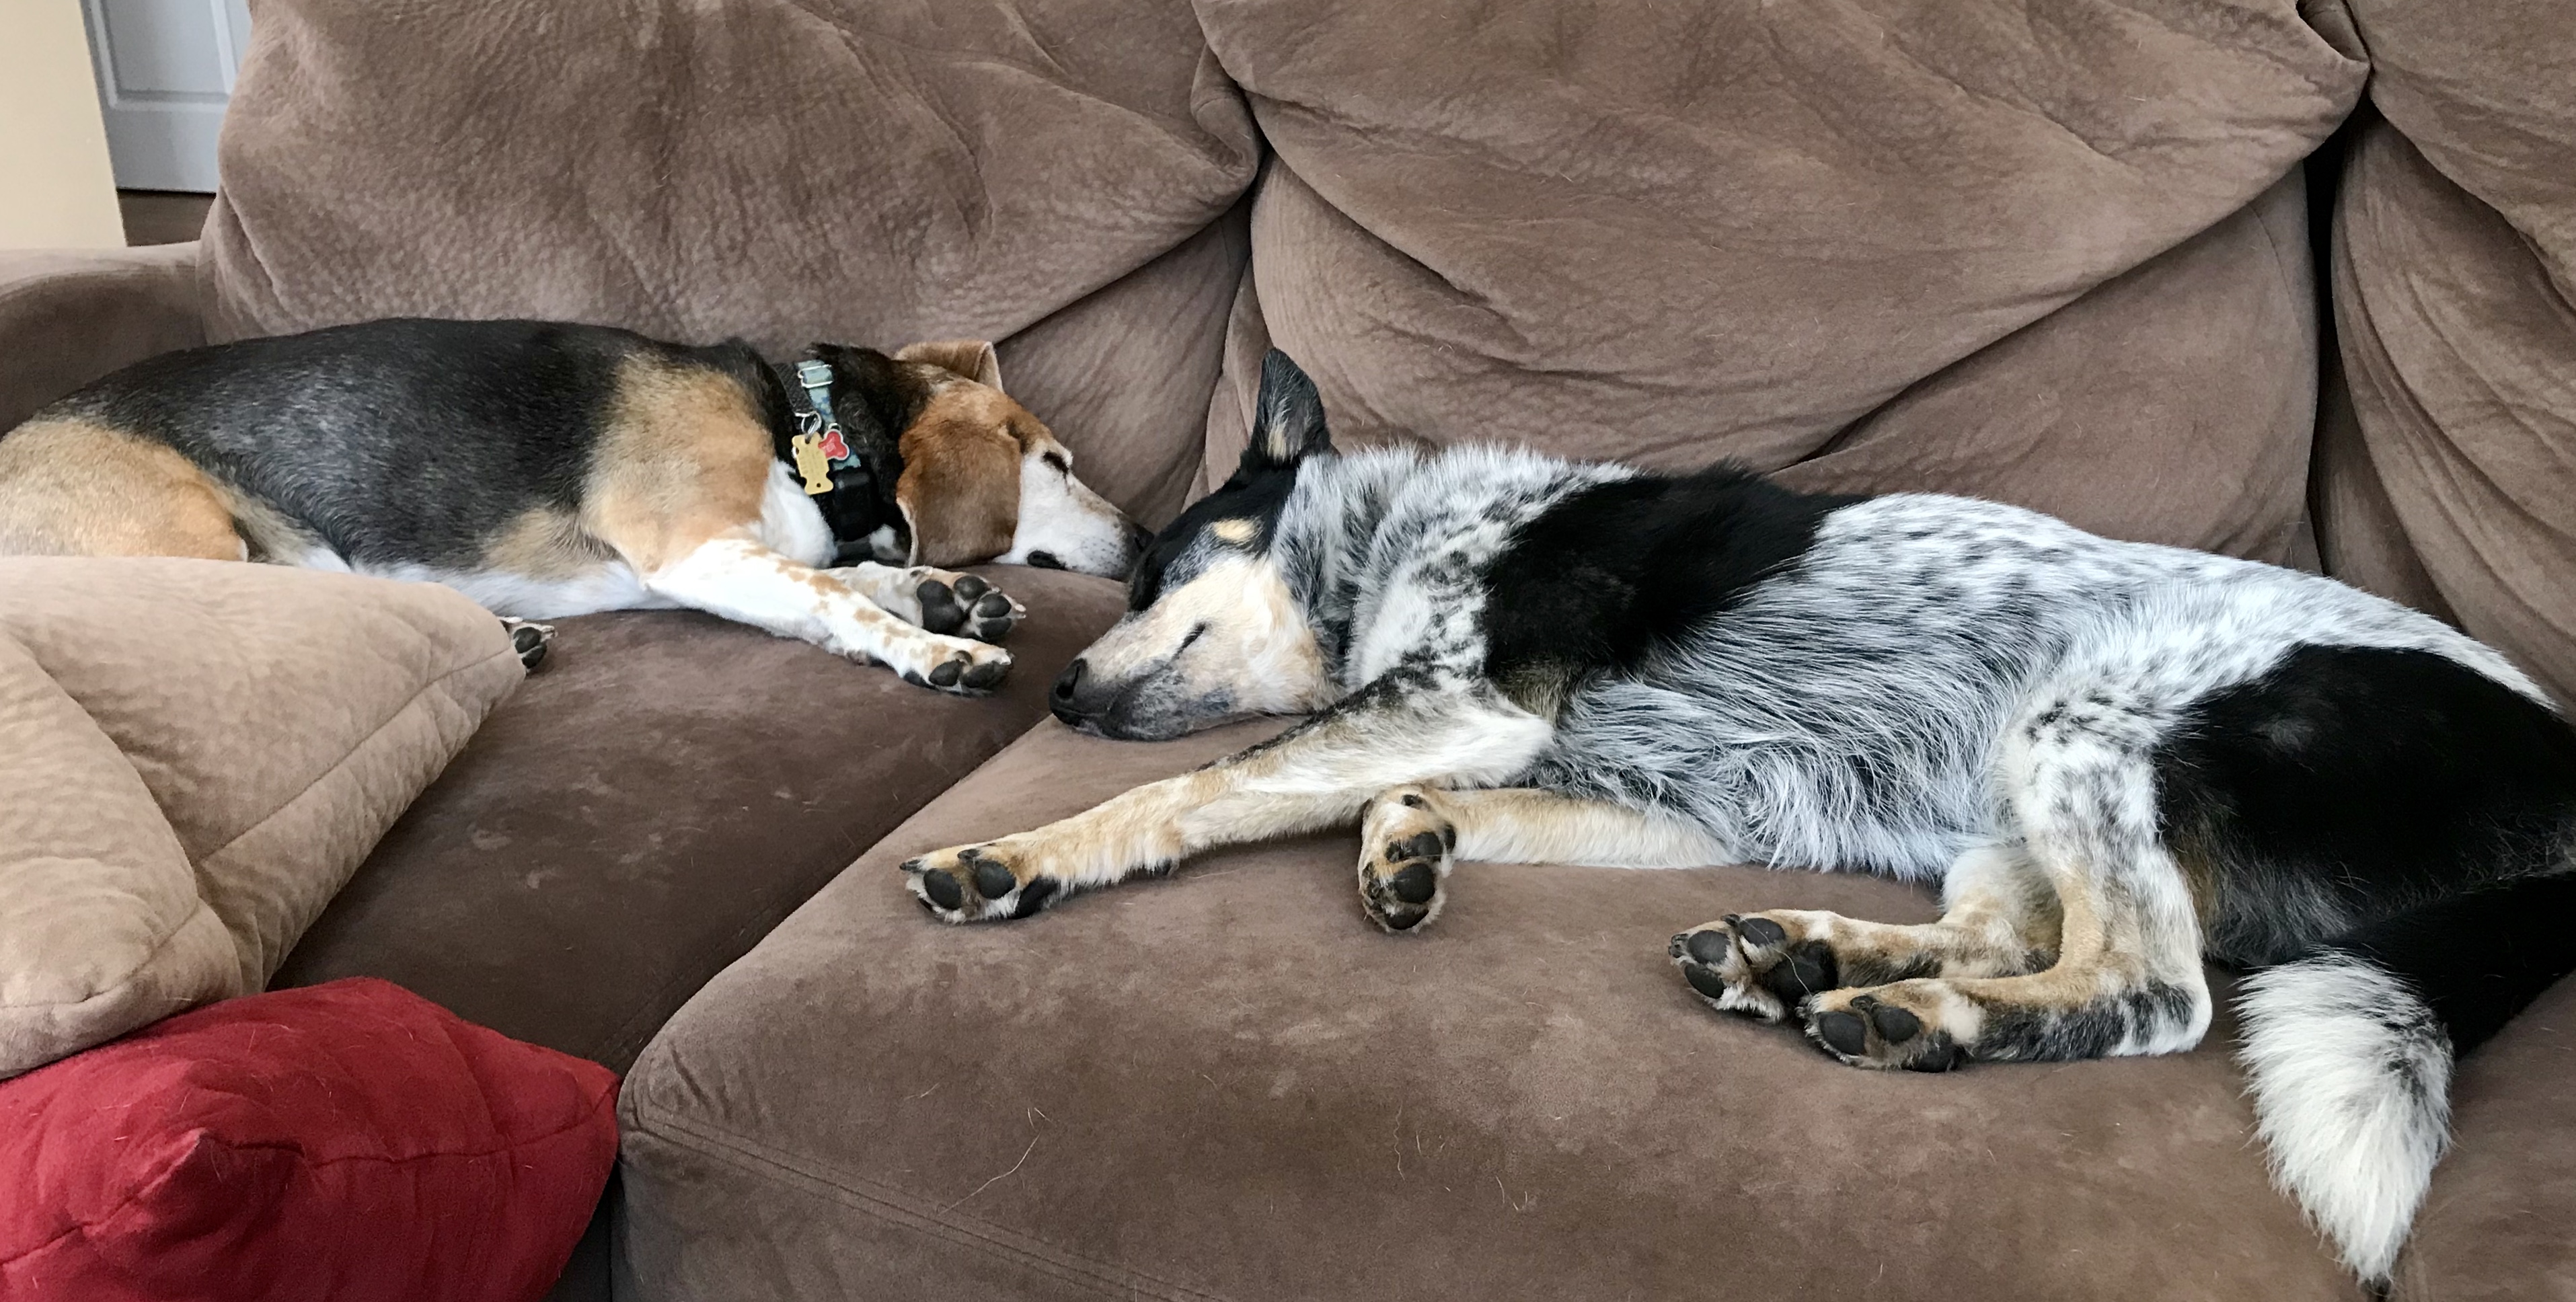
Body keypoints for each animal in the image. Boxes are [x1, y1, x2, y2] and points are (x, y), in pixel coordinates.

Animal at [0, 318, 1147, 690]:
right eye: (1054, 462)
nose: (1145, 539)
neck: (801, 428)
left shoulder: (716, 563)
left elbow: (851, 574)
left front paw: (942, 596)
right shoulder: (689, 550)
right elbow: (835, 595)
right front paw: (935, 644)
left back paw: (505, 639)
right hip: (189, 539)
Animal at [897, 349, 2576, 1281]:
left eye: (1154, 569)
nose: (1055, 693)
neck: (1387, 545)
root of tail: (2568, 776)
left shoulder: (1473, 700)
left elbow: (1196, 784)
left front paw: (1014, 853)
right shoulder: (1650, 803)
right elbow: (1405, 793)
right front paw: (1404, 844)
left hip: (2083, 726)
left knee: (2150, 989)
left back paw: (1911, 1020)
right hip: (2002, 806)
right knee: (2005, 937)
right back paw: (1801, 959)